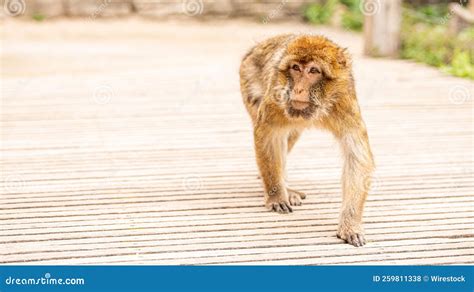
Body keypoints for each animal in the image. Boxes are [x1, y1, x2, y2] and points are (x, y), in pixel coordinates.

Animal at [241, 34, 374, 246]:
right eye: (296, 68)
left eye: (313, 71)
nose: (298, 89)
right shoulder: (277, 94)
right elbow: (268, 134)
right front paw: (277, 196)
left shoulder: (345, 101)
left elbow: (356, 156)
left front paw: (350, 225)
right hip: (249, 78)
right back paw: (284, 189)